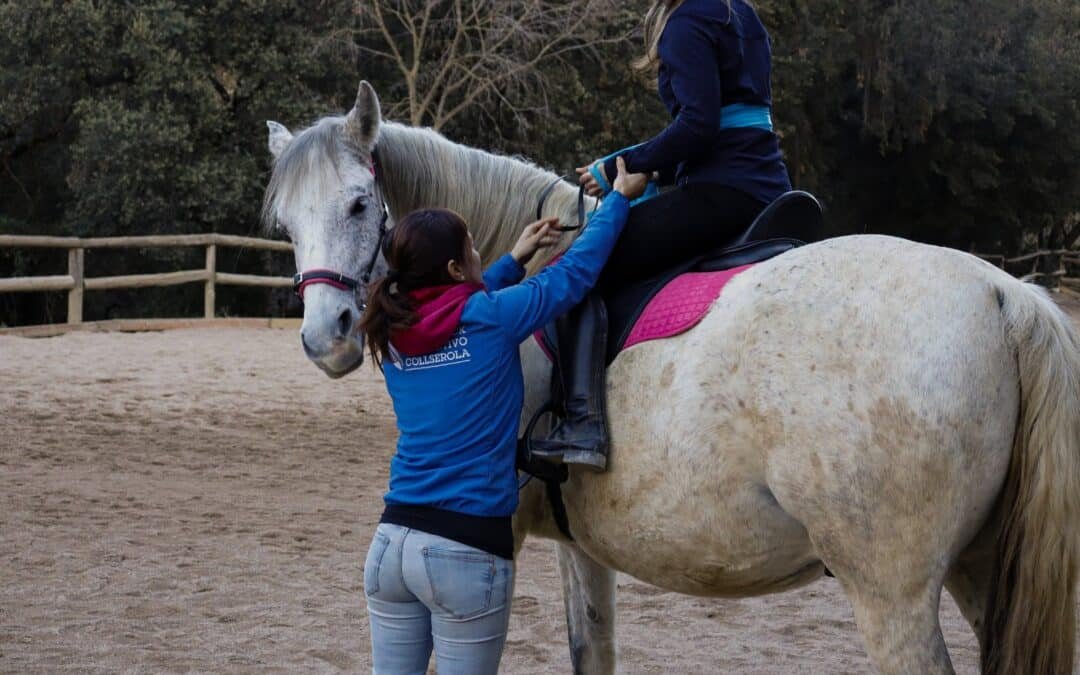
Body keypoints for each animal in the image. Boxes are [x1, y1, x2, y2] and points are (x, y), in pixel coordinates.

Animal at [262, 81, 1080, 674]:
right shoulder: (581, 546)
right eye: (287, 224)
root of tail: (1002, 293)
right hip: (981, 567)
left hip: (892, 594)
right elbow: (591, 649)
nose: (326, 336)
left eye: (359, 204)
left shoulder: (502, 535)